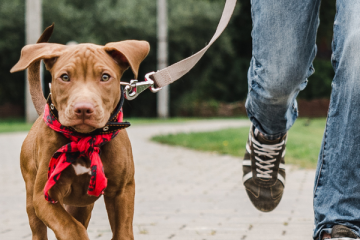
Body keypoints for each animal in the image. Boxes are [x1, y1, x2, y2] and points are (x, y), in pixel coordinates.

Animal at [10, 24, 149, 240]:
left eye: (105, 77)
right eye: (65, 77)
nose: (83, 109)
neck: (85, 139)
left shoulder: (122, 192)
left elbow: (122, 231)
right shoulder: (44, 196)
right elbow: (71, 228)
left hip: (82, 205)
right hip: (31, 195)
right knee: (39, 228)